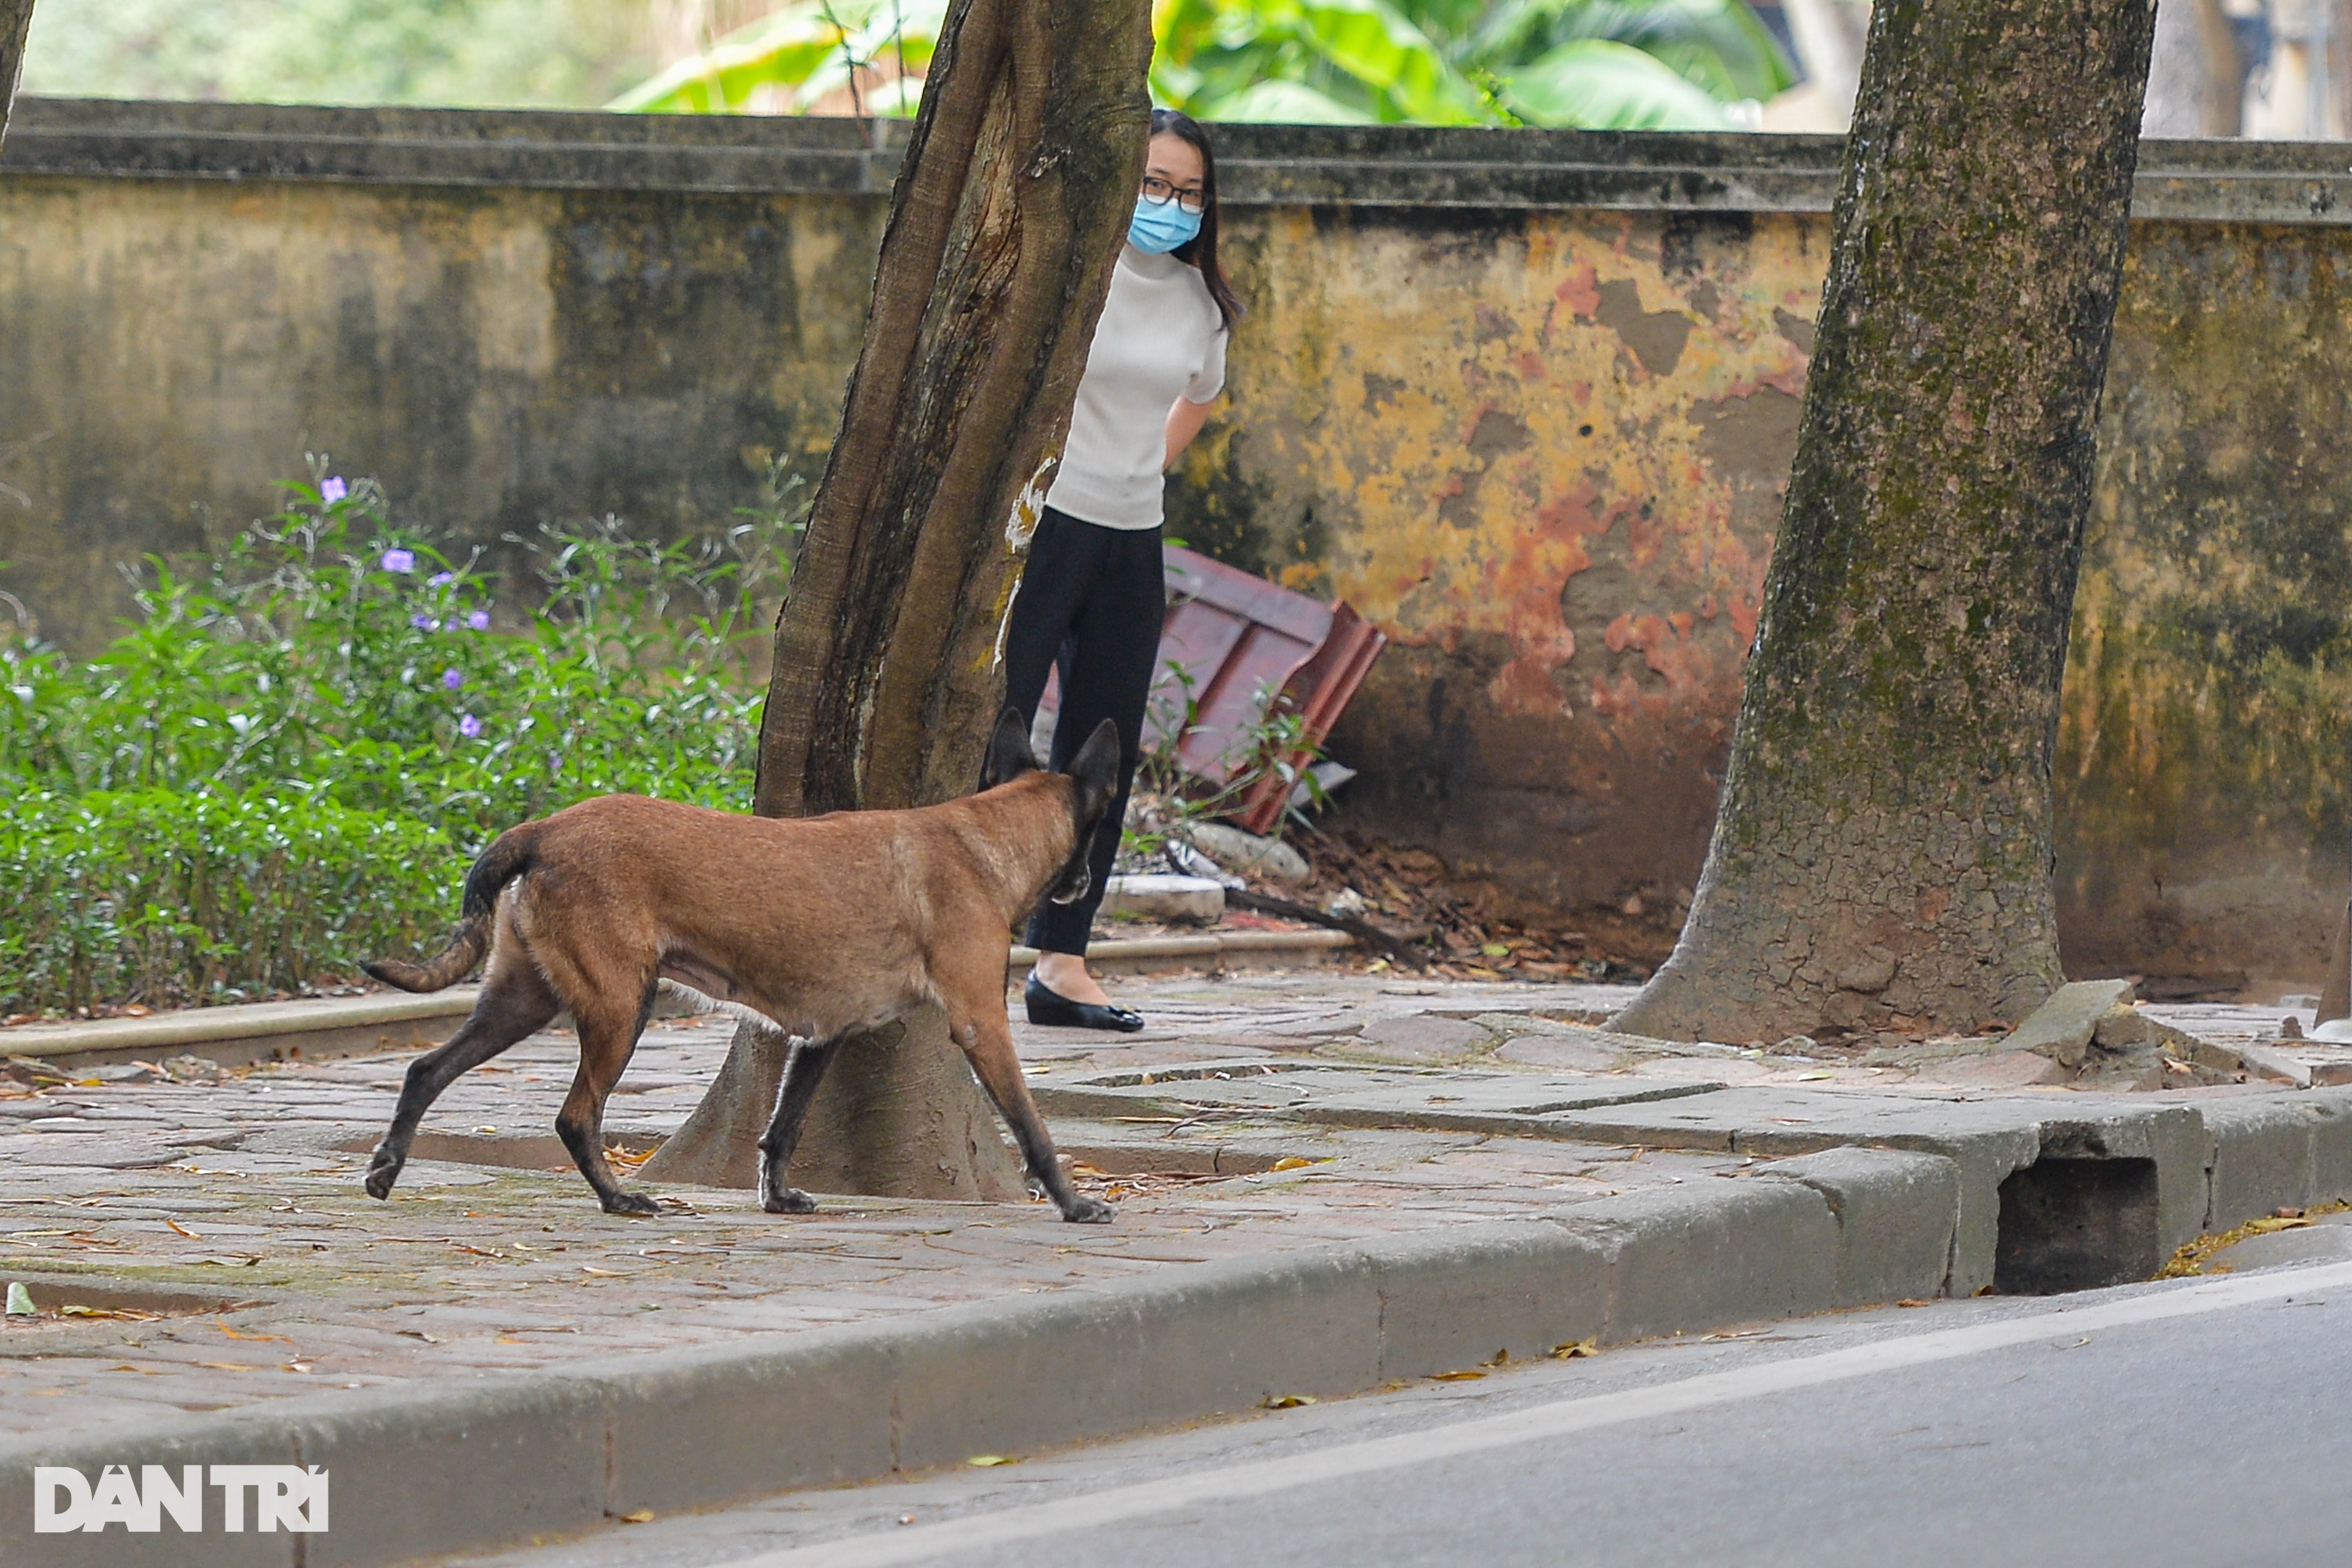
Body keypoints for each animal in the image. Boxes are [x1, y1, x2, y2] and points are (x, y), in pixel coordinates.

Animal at [362, 710, 1124, 1222]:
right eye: (1096, 832)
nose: (1087, 885)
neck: (984, 837)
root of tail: (542, 830)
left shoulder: (823, 1037)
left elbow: (783, 1126)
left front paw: (777, 1196)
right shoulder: (982, 1023)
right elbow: (1031, 1124)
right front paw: (1074, 1202)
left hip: (523, 1000)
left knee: (426, 1069)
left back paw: (386, 1169)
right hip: (620, 1008)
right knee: (576, 1117)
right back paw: (618, 1198)